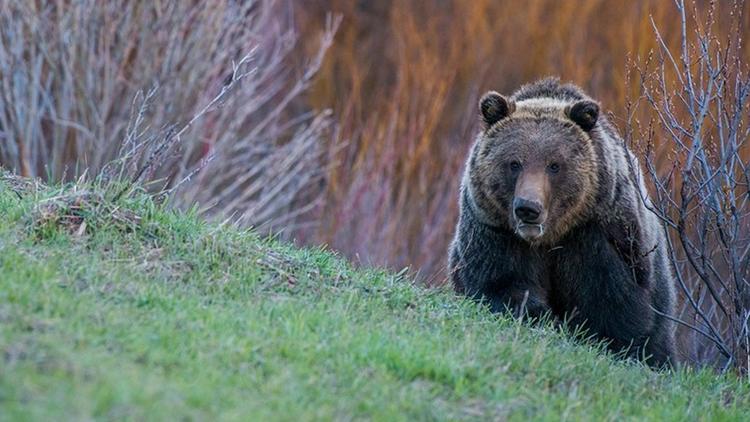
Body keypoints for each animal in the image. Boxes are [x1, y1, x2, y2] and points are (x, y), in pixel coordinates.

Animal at [450, 77, 680, 368]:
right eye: (514, 163)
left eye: (554, 165)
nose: (528, 208)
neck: (549, 237)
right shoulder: (494, 229)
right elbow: (503, 284)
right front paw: (542, 315)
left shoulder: (597, 233)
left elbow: (613, 303)